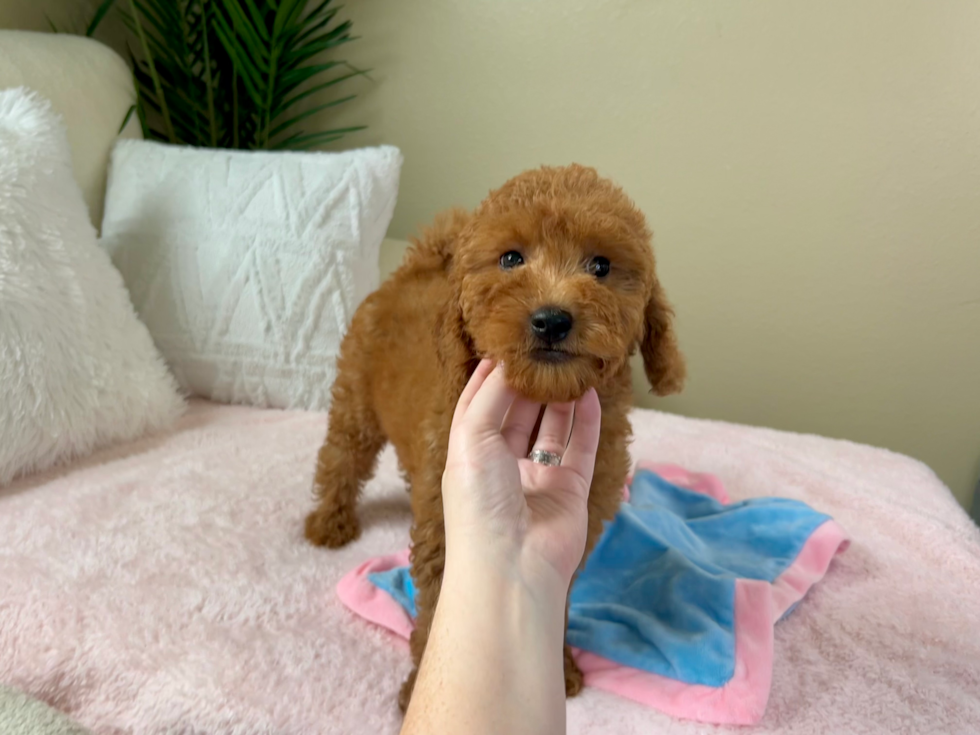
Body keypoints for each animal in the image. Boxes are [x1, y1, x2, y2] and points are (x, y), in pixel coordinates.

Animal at [304, 164, 680, 712]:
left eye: (602, 266)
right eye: (510, 259)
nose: (551, 319)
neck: (540, 401)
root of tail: (415, 267)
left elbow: (555, 600)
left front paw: (558, 670)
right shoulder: (448, 528)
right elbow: (441, 605)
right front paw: (421, 687)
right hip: (356, 397)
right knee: (341, 456)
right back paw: (329, 522)